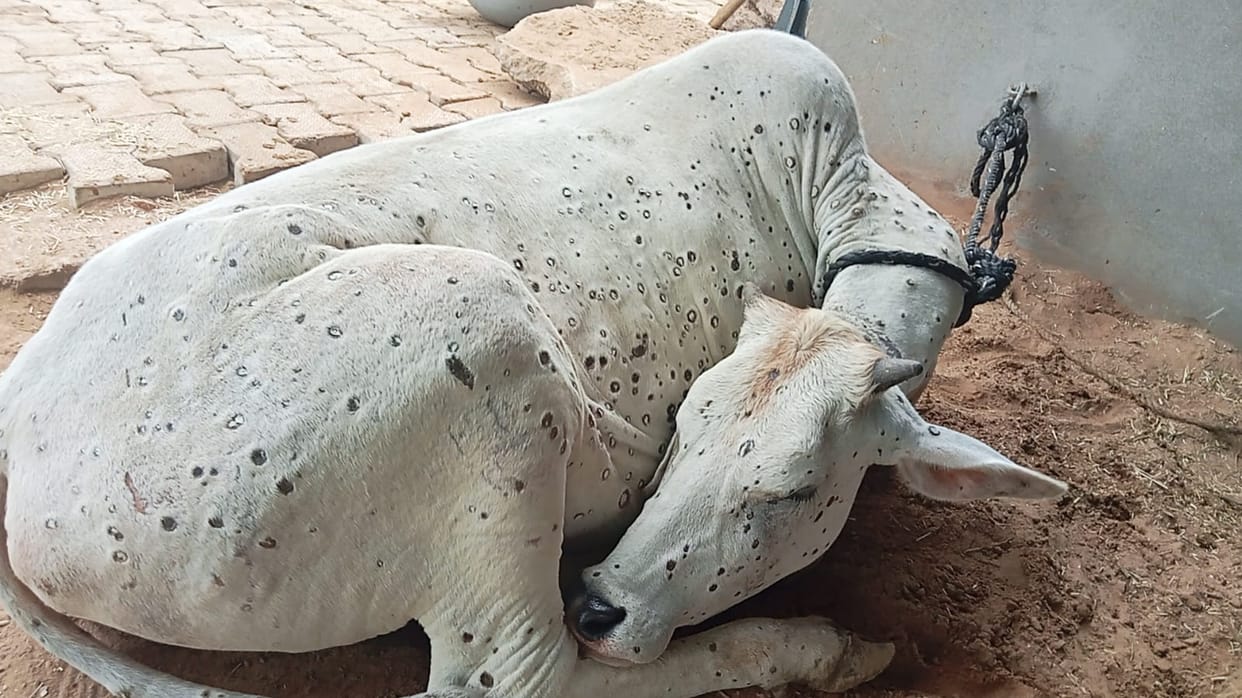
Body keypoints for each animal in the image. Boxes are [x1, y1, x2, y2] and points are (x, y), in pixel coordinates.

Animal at [0, 29, 1067, 698]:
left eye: (793, 491)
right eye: (685, 430)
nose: (600, 603)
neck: (838, 194)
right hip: (484, 337)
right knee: (518, 678)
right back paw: (812, 648)